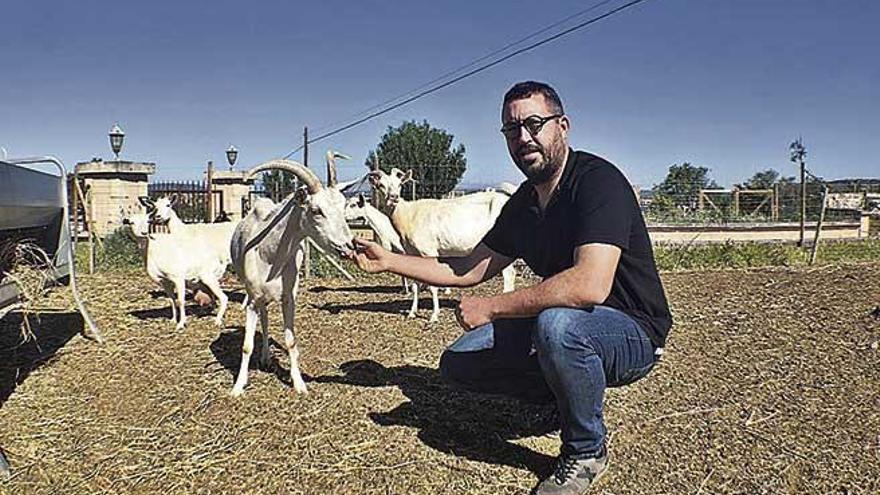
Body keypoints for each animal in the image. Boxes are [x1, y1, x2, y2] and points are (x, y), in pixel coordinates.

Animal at [232, 153, 360, 398]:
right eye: (316, 210)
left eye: (344, 206)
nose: (349, 246)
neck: (270, 254)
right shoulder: (252, 299)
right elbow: (245, 345)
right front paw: (237, 387)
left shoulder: (288, 298)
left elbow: (291, 341)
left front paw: (299, 383)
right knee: (263, 319)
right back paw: (264, 357)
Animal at [366, 169, 516, 324]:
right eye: (381, 185)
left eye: (399, 184)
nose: (394, 197)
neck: (409, 215)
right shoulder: (412, 253)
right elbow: (415, 285)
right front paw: (412, 312)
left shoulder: (428, 251)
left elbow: (432, 286)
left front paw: (434, 316)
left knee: (509, 275)